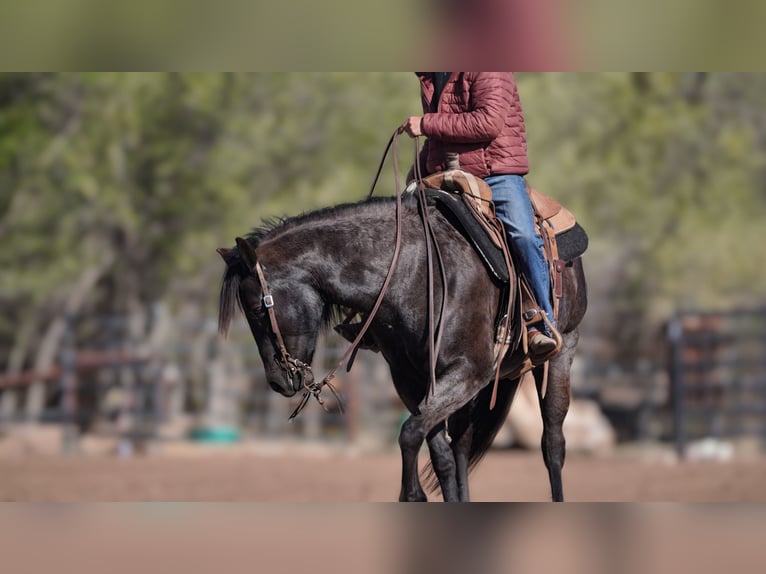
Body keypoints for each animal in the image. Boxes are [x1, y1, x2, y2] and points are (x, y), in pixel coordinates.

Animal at [219, 195, 592, 504]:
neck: (413, 272)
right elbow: (437, 452)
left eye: (257, 310)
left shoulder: (467, 371)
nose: (277, 381)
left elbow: (410, 433)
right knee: (461, 448)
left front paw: (411, 495)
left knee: (552, 445)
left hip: (562, 352)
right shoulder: (412, 380)